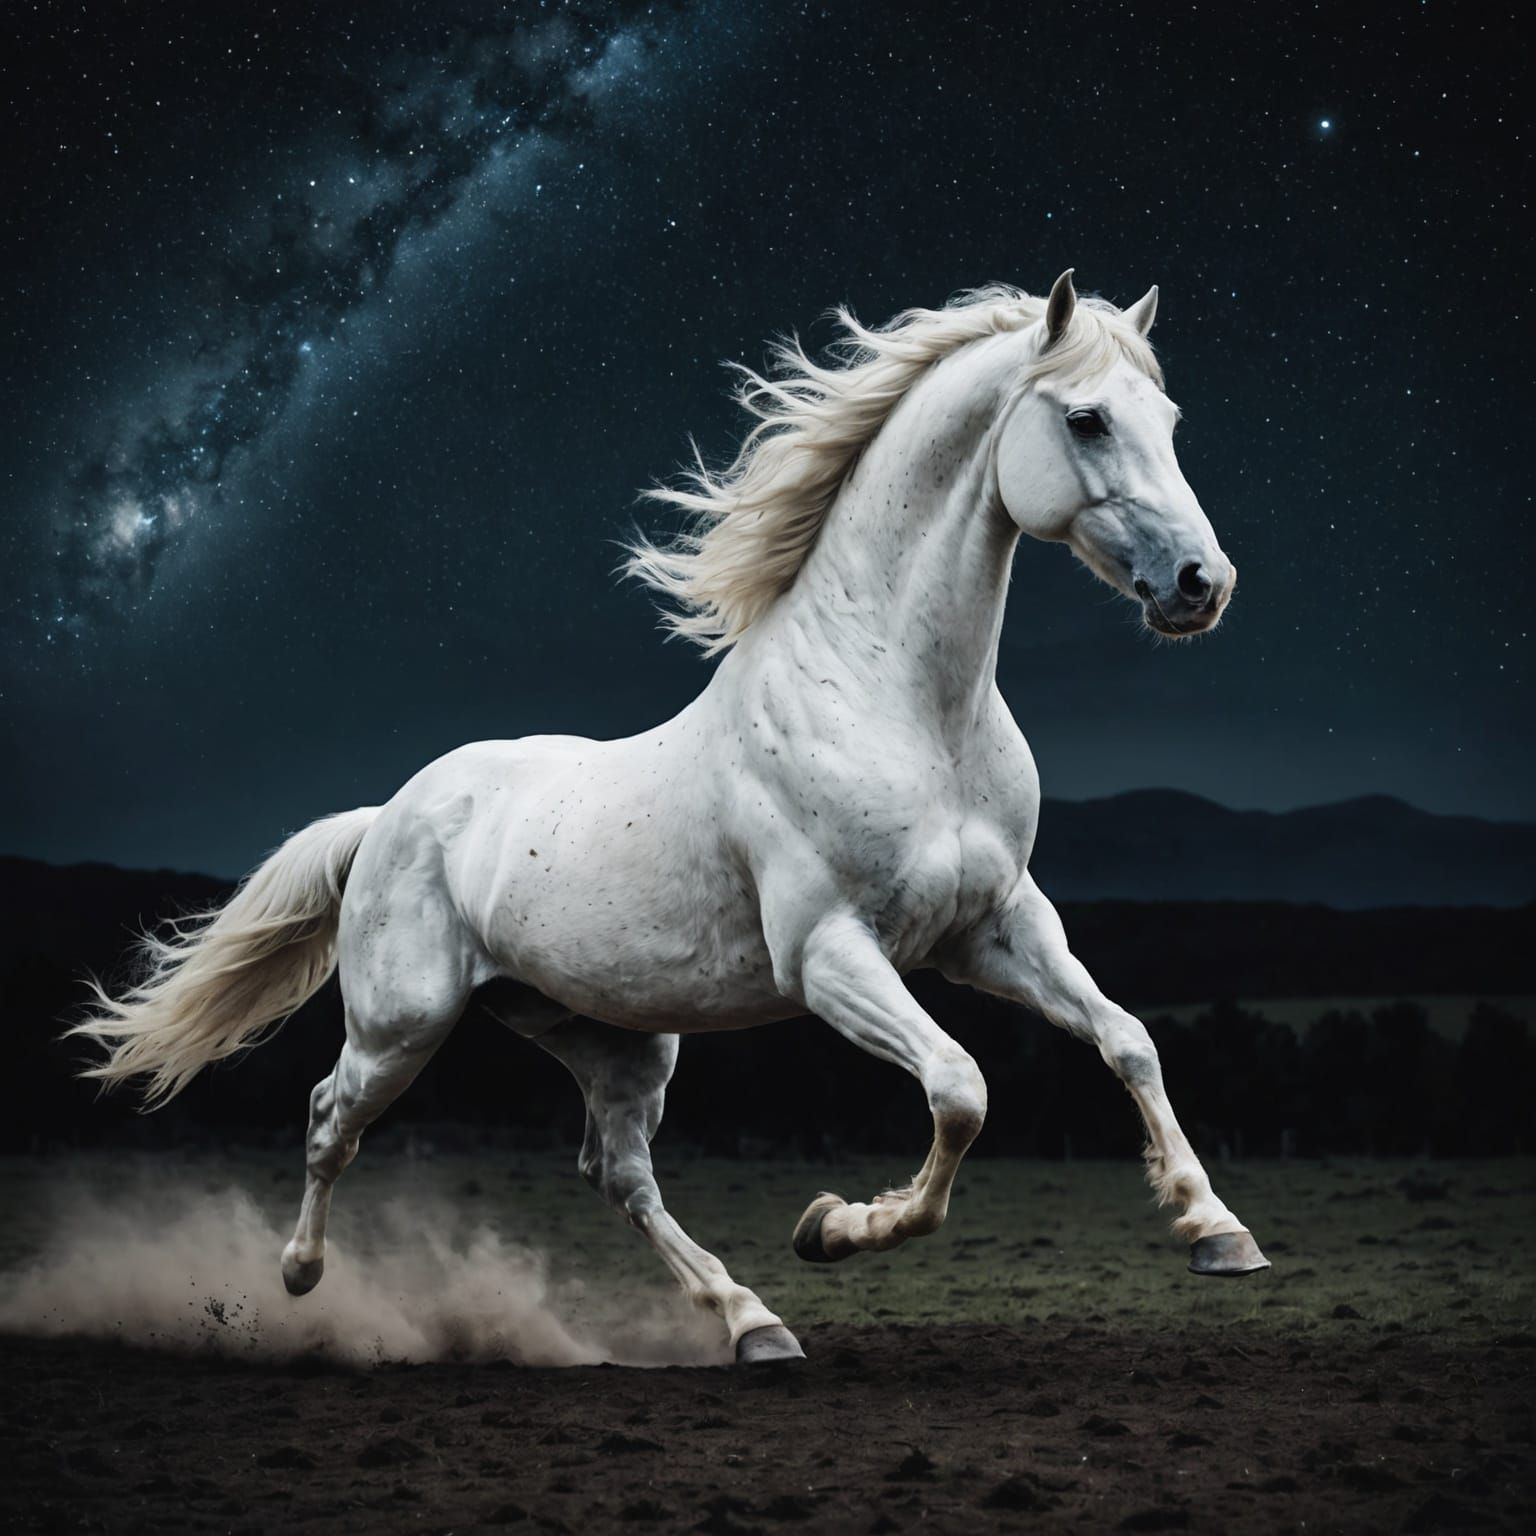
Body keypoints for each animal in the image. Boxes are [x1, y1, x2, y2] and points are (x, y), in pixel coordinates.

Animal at [72, 271, 1270, 1366]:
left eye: (1168, 419)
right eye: (1086, 418)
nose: (1201, 583)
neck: (901, 704)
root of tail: (390, 815)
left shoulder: (995, 929)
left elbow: (1127, 1041)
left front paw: (1218, 1232)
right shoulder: (832, 955)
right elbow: (962, 1090)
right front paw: (834, 1227)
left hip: (615, 1040)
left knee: (618, 1174)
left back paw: (754, 1325)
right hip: (402, 1022)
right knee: (332, 1117)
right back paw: (299, 1279)